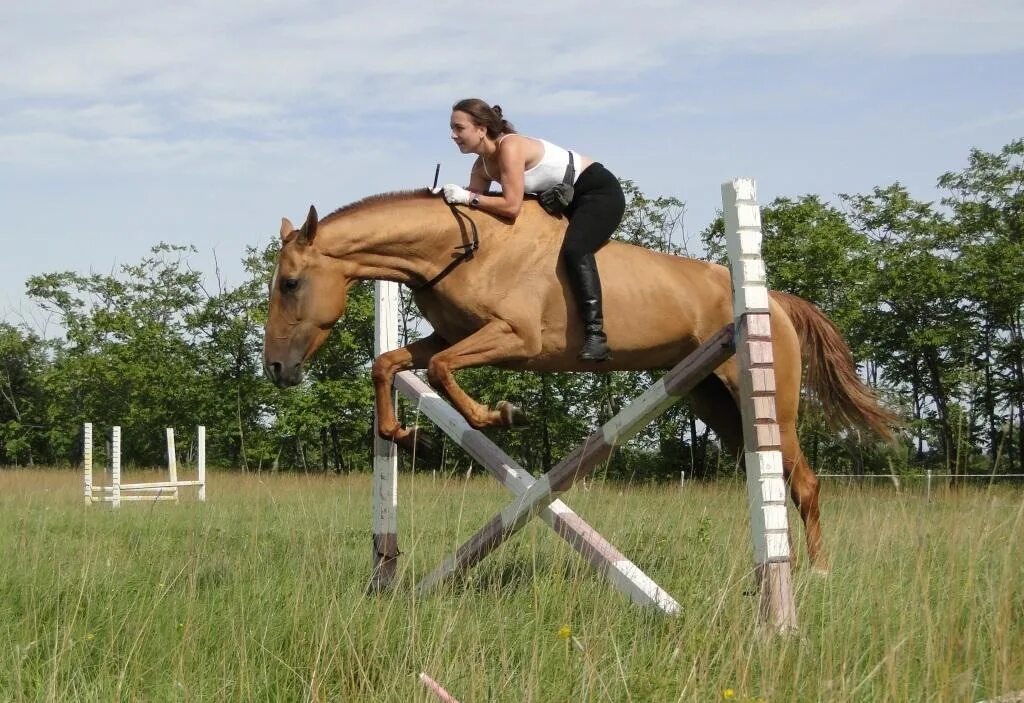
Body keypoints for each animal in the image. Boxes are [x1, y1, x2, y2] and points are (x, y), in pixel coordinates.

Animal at [264, 188, 897, 573]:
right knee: (770, 476)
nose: (276, 369)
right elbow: (390, 363)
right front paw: (407, 437)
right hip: (714, 400)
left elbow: (442, 371)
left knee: (804, 483)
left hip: (769, 403)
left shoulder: (514, 340)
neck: (459, 247)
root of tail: (776, 300)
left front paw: (501, 415)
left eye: (291, 284)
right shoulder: (450, 335)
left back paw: (816, 573)